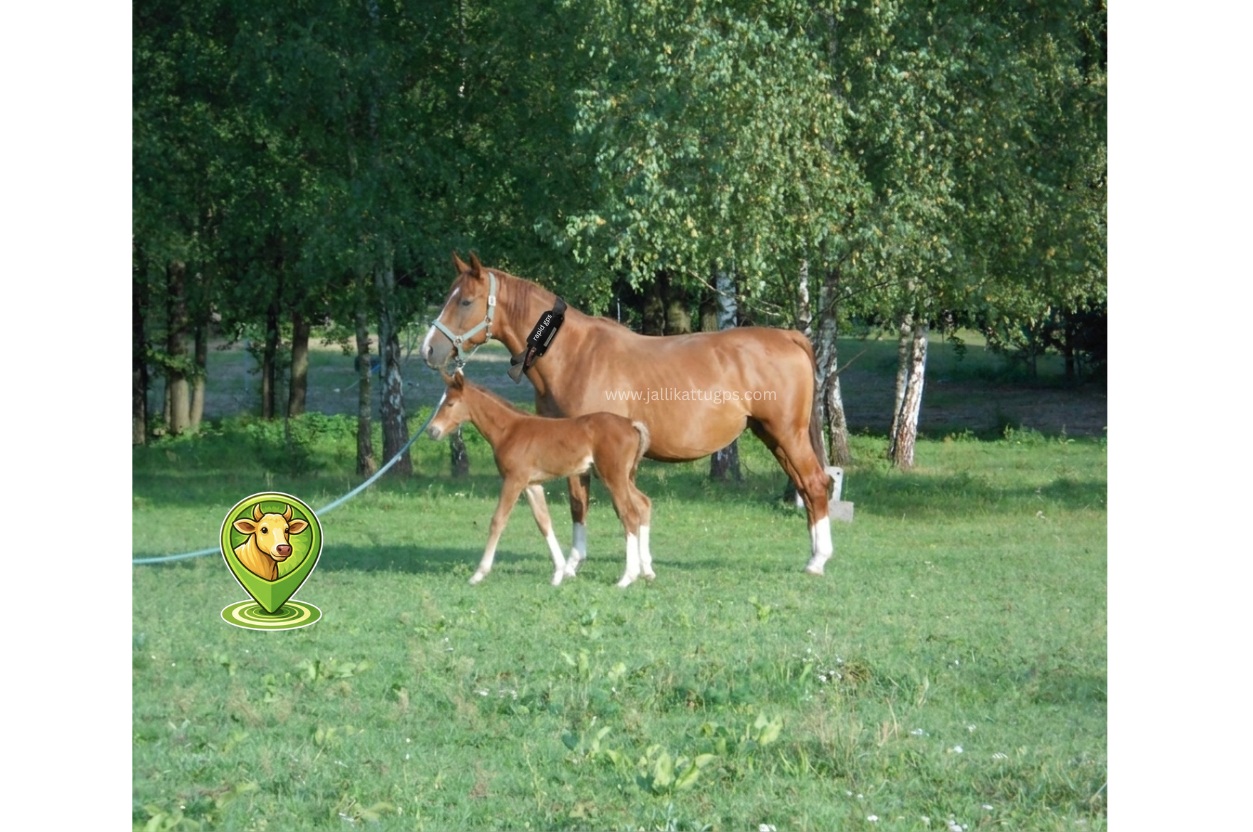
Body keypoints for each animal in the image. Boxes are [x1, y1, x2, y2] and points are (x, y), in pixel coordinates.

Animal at [427, 370, 654, 588]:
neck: (509, 430)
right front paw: (559, 573)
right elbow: (543, 521)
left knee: (629, 515)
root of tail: (631, 424)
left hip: (613, 477)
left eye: (450, 403)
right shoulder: (532, 485)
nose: (432, 430)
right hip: (618, 477)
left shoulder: (514, 480)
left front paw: (478, 574)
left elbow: (498, 520)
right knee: (644, 503)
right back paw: (646, 571)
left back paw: (627, 578)